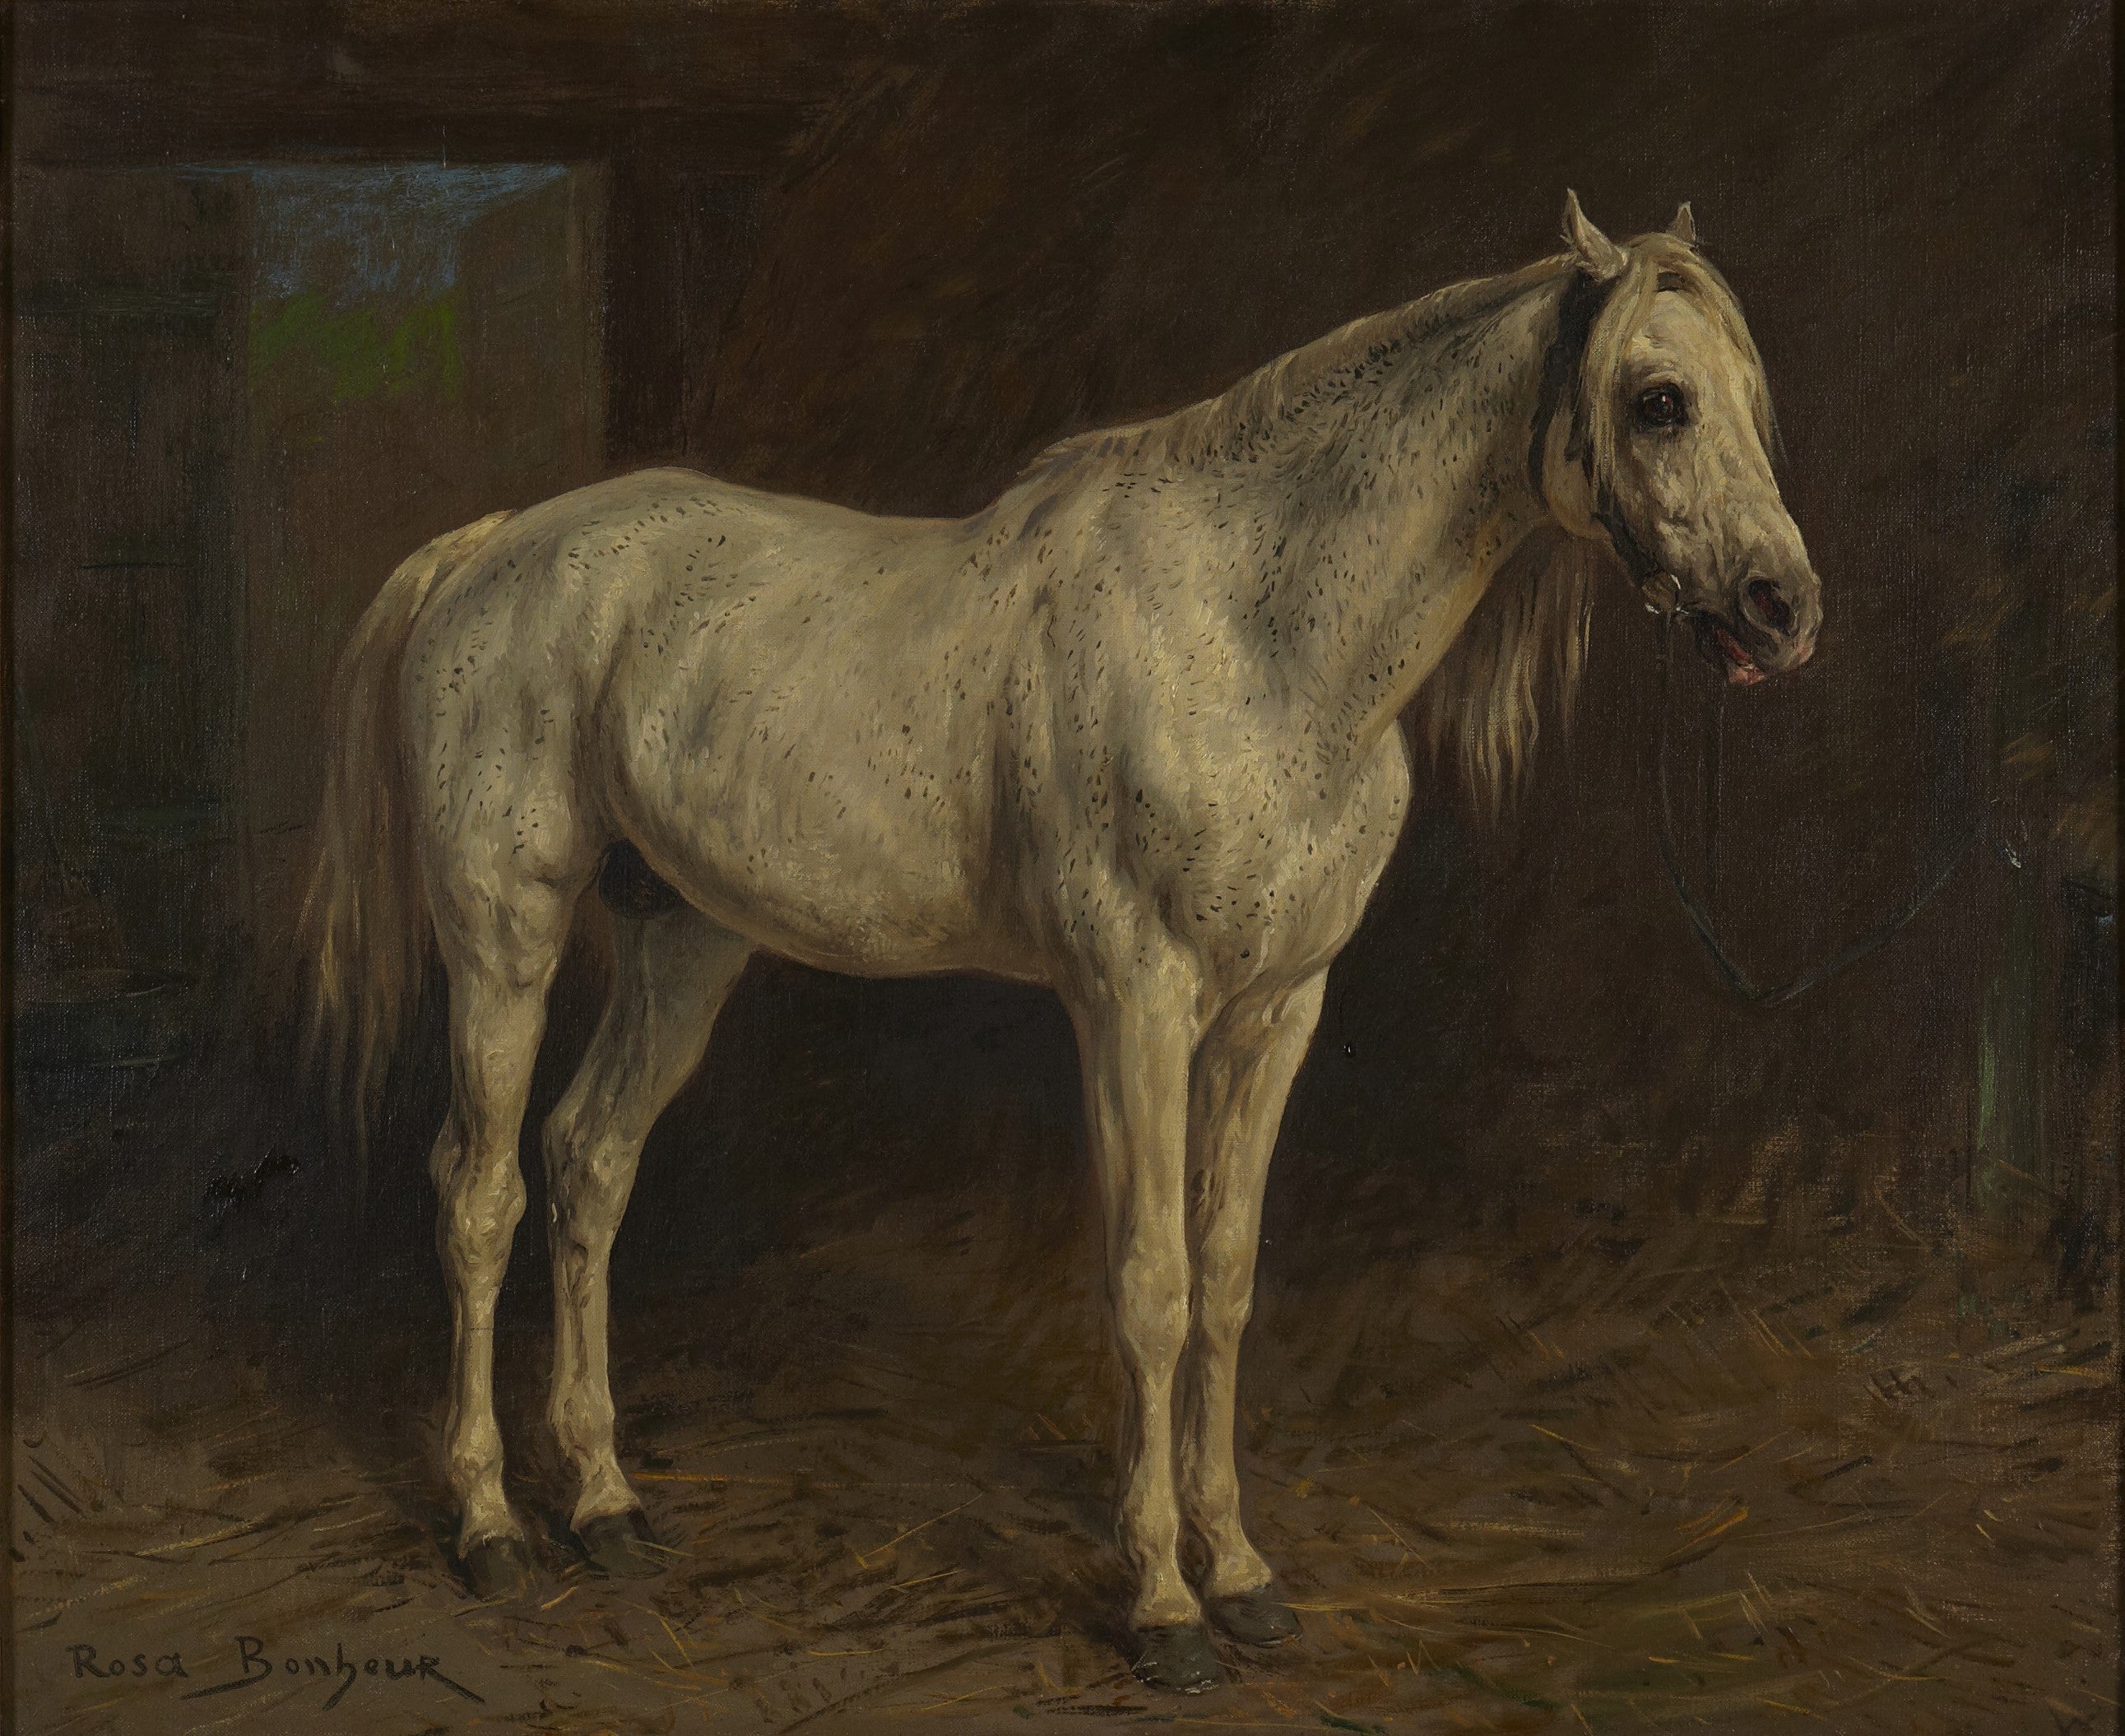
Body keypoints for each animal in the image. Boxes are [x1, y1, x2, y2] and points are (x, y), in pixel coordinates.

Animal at [304, 192, 1820, 1693]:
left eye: (1750, 399)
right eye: (1658, 400)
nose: (1781, 607)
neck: (1252, 637)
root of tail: (492, 548)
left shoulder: (1277, 1011)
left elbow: (1226, 1282)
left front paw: (1243, 1574)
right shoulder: (1132, 1002)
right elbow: (1150, 1286)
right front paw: (1162, 1606)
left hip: (684, 942)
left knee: (589, 1163)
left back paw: (607, 1505)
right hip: (504, 942)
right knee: (480, 1193)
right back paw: (492, 1526)